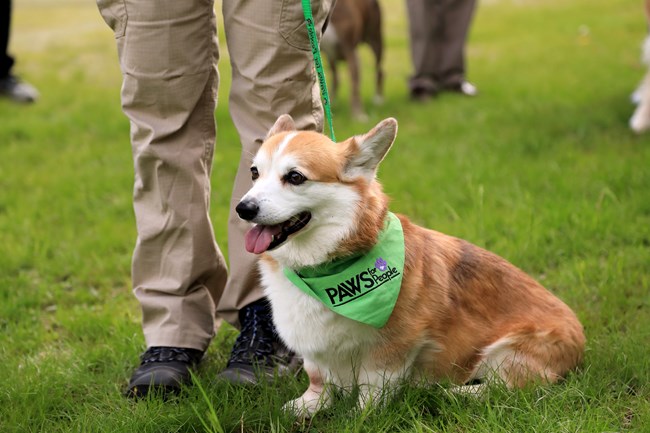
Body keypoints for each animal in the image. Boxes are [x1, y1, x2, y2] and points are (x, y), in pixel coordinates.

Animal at [235, 114, 584, 416]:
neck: (325, 267)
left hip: (505, 351)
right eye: (254, 173)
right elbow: (318, 377)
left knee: (503, 387)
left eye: (295, 177)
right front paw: (309, 406)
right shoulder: (313, 348)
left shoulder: (394, 346)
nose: (243, 209)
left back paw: (450, 393)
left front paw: (359, 417)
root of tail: (581, 338)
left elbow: (372, 388)